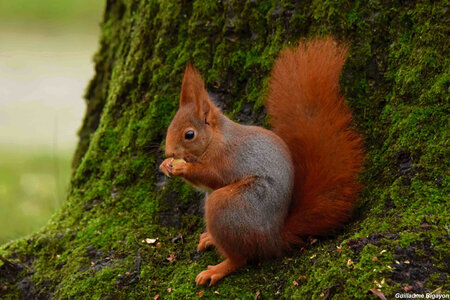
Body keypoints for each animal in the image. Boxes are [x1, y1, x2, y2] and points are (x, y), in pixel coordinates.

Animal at [160, 37, 364, 286]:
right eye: (170, 125)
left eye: (189, 134)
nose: (169, 152)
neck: (216, 140)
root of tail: (273, 238)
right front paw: (165, 165)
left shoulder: (228, 159)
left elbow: (210, 176)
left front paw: (181, 167)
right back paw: (210, 238)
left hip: (228, 206)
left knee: (240, 258)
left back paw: (216, 269)